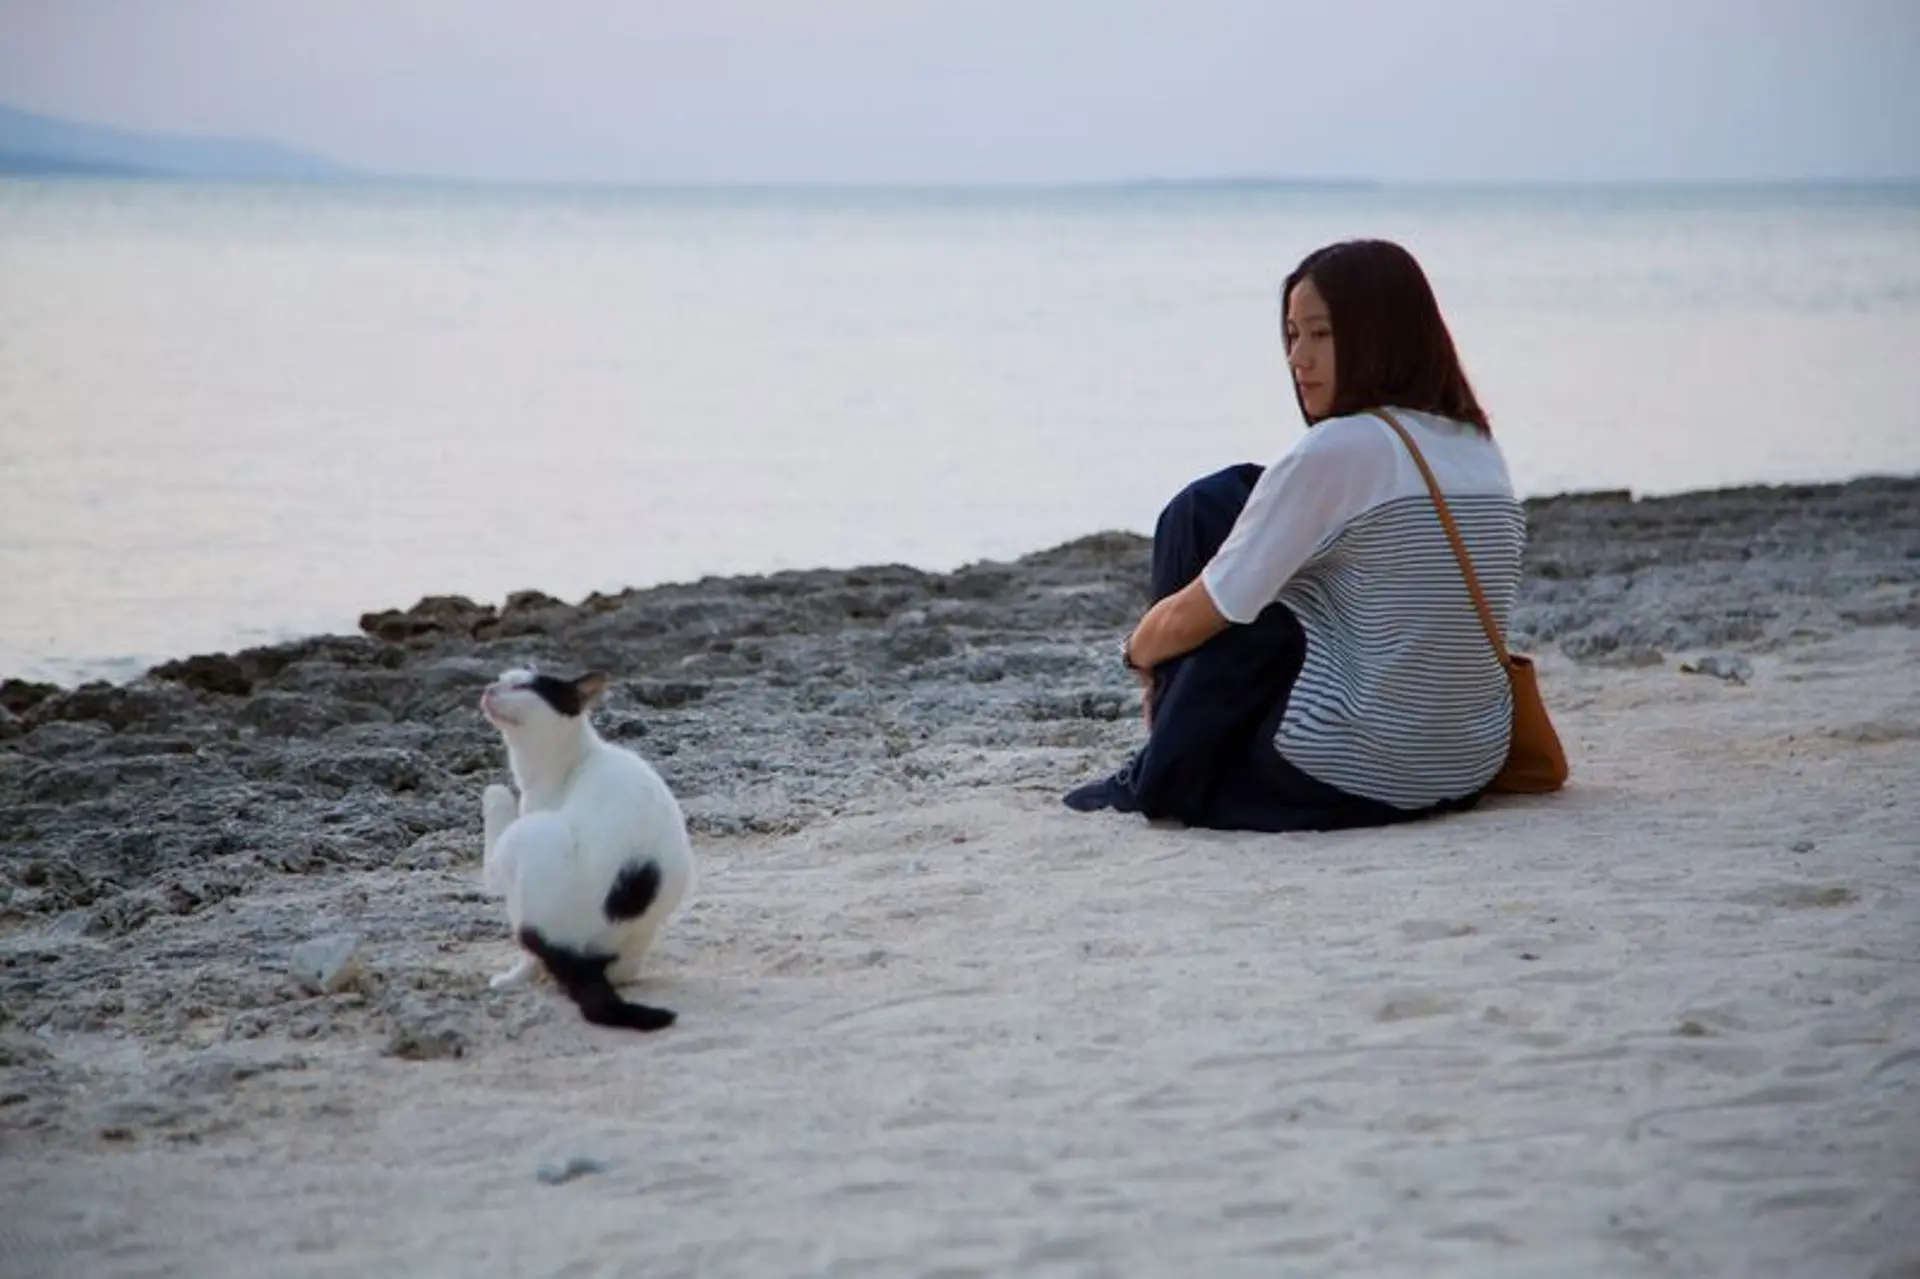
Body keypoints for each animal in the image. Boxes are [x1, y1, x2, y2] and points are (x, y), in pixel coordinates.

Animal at [476, 660, 695, 1029]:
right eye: (501, 679)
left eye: (523, 687)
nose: (489, 689)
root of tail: (579, 952)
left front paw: (497, 793)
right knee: (619, 974)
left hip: (532, 835)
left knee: (527, 940)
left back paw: (509, 979)